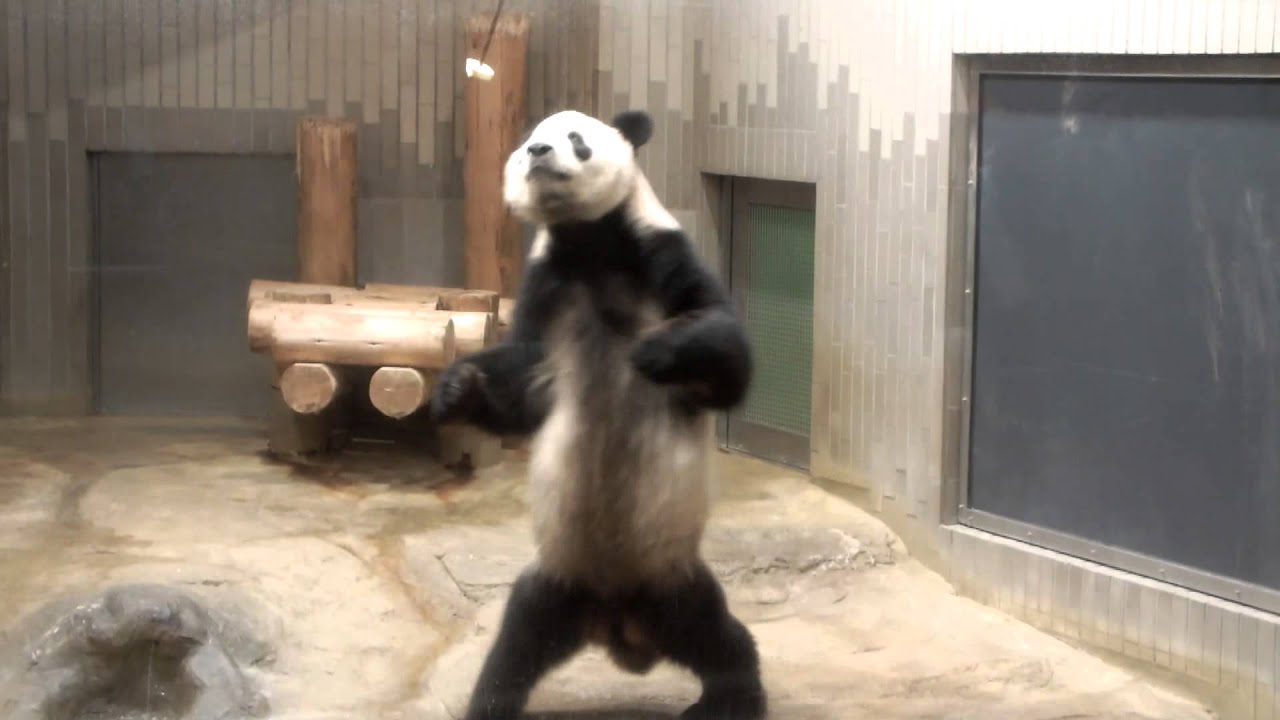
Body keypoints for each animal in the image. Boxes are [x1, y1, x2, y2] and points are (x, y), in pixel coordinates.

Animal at [427, 108, 765, 720]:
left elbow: (726, 352)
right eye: (527, 142)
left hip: (670, 573)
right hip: (559, 578)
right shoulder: (548, 280)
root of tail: (619, 623)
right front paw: (458, 387)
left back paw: (729, 699)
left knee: (718, 634)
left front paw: (655, 351)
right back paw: (490, 703)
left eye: (576, 140)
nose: (538, 153)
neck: (590, 241)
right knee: (516, 642)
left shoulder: (657, 249)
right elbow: (525, 375)